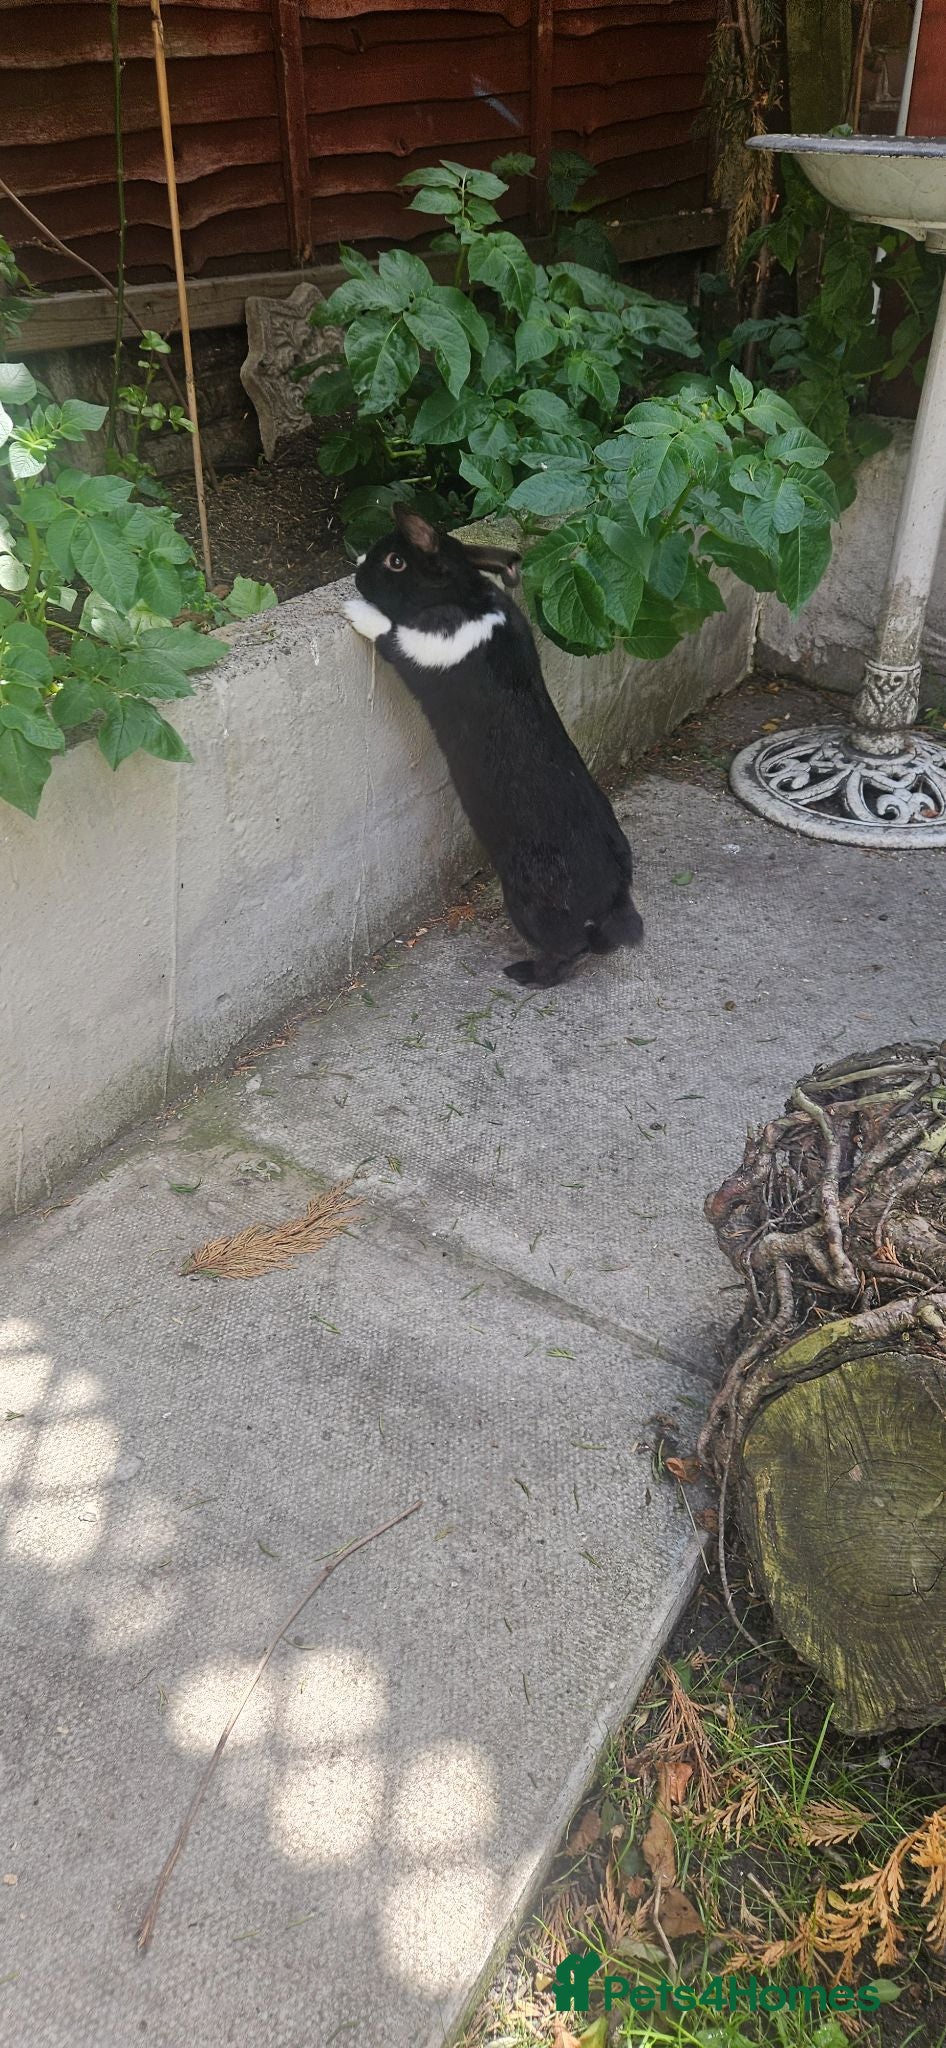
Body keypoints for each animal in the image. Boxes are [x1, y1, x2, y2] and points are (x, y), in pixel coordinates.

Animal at [345, 504, 643, 987]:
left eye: (396, 561)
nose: (356, 570)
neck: (467, 600)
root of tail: (612, 898)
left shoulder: (419, 648)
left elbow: (390, 633)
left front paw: (356, 611)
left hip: (527, 904)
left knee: (567, 950)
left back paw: (526, 974)